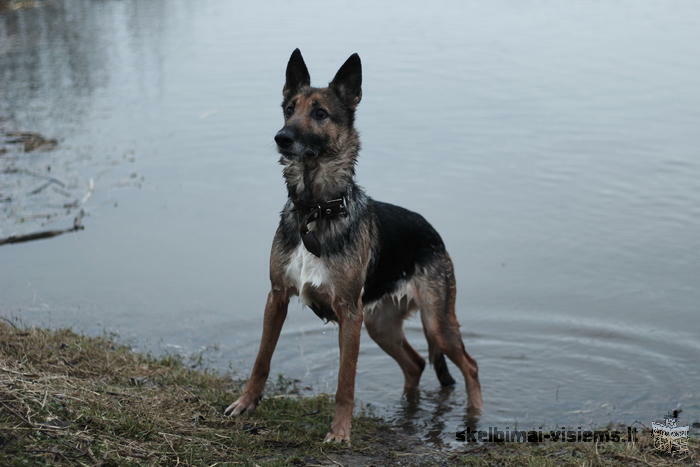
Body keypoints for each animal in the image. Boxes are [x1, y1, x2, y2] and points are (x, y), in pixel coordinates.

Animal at [227, 49, 484, 444]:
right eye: (289, 108)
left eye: (320, 113)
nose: (282, 137)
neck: (315, 210)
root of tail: (432, 231)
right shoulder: (276, 297)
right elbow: (261, 359)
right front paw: (246, 403)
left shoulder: (349, 314)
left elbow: (344, 382)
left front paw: (340, 432)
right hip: (380, 324)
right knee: (416, 363)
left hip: (436, 321)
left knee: (470, 366)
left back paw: (474, 416)